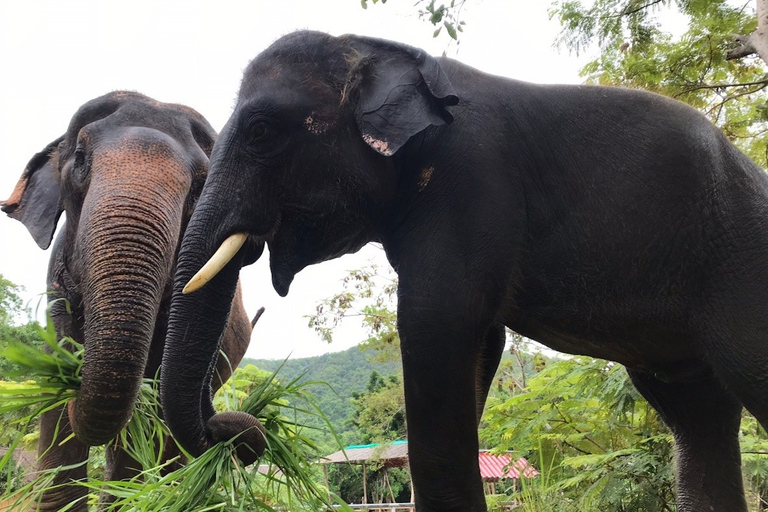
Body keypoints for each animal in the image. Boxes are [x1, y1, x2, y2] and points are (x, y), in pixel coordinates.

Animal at [164, 32, 768, 512]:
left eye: (262, 130)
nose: (243, 430)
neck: (374, 49)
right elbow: (480, 340)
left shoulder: (472, 178)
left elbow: (437, 323)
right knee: (697, 415)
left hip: (741, 262)